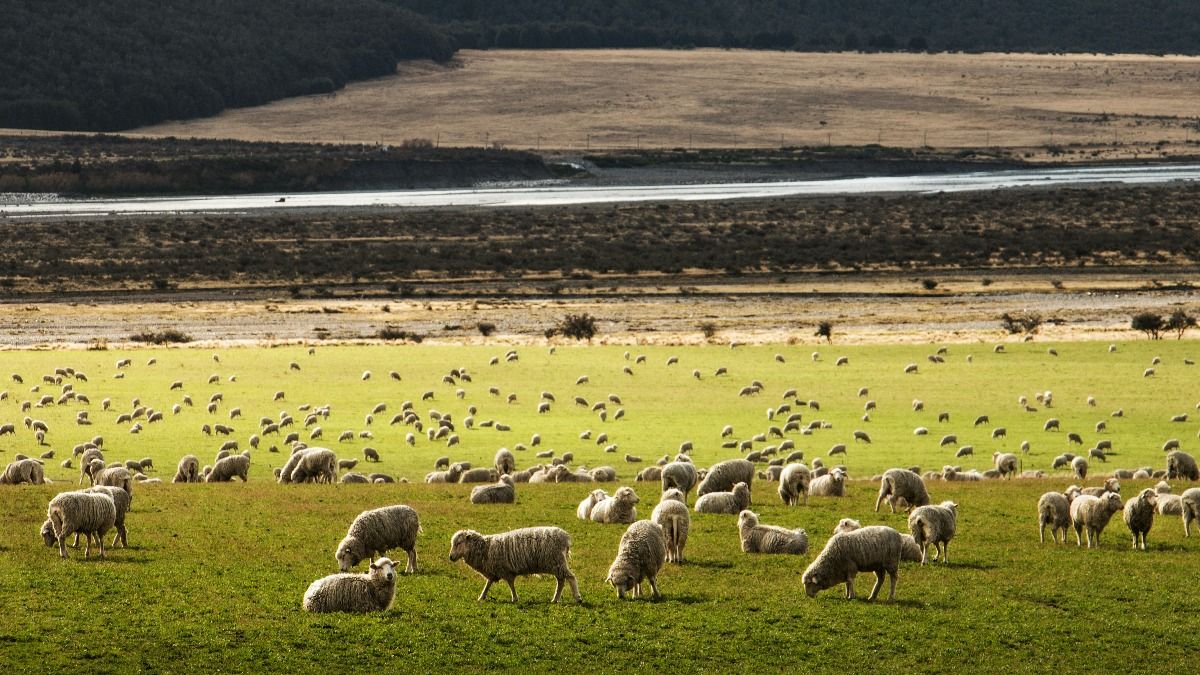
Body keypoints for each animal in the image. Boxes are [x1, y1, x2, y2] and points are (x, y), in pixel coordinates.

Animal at [448, 527, 581, 603]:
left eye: (458, 543)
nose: (450, 557)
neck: (485, 548)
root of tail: (565, 537)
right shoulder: (493, 571)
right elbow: (488, 584)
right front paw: (481, 597)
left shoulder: (504, 570)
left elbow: (510, 584)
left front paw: (515, 598)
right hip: (556, 564)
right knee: (561, 581)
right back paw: (555, 599)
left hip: (557, 561)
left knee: (571, 577)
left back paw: (577, 597)